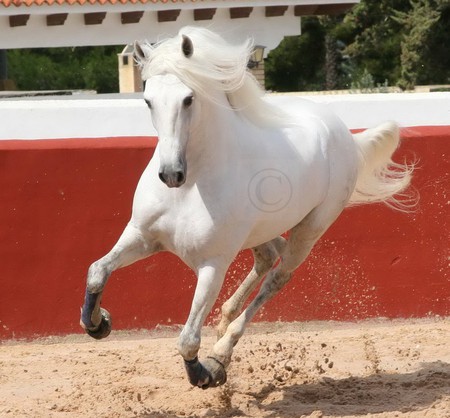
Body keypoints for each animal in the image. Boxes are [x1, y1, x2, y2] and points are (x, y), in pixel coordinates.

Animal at [80, 28, 412, 388]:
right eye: (148, 100)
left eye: (188, 99)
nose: (170, 174)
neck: (192, 185)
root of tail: (345, 136)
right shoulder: (141, 237)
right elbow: (97, 271)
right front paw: (98, 323)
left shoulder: (213, 264)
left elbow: (187, 339)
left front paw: (206, 373)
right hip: (260, 231)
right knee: (268, 255)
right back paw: (224, 319)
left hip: (310, 230)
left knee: (278, 277)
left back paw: (222, 350)